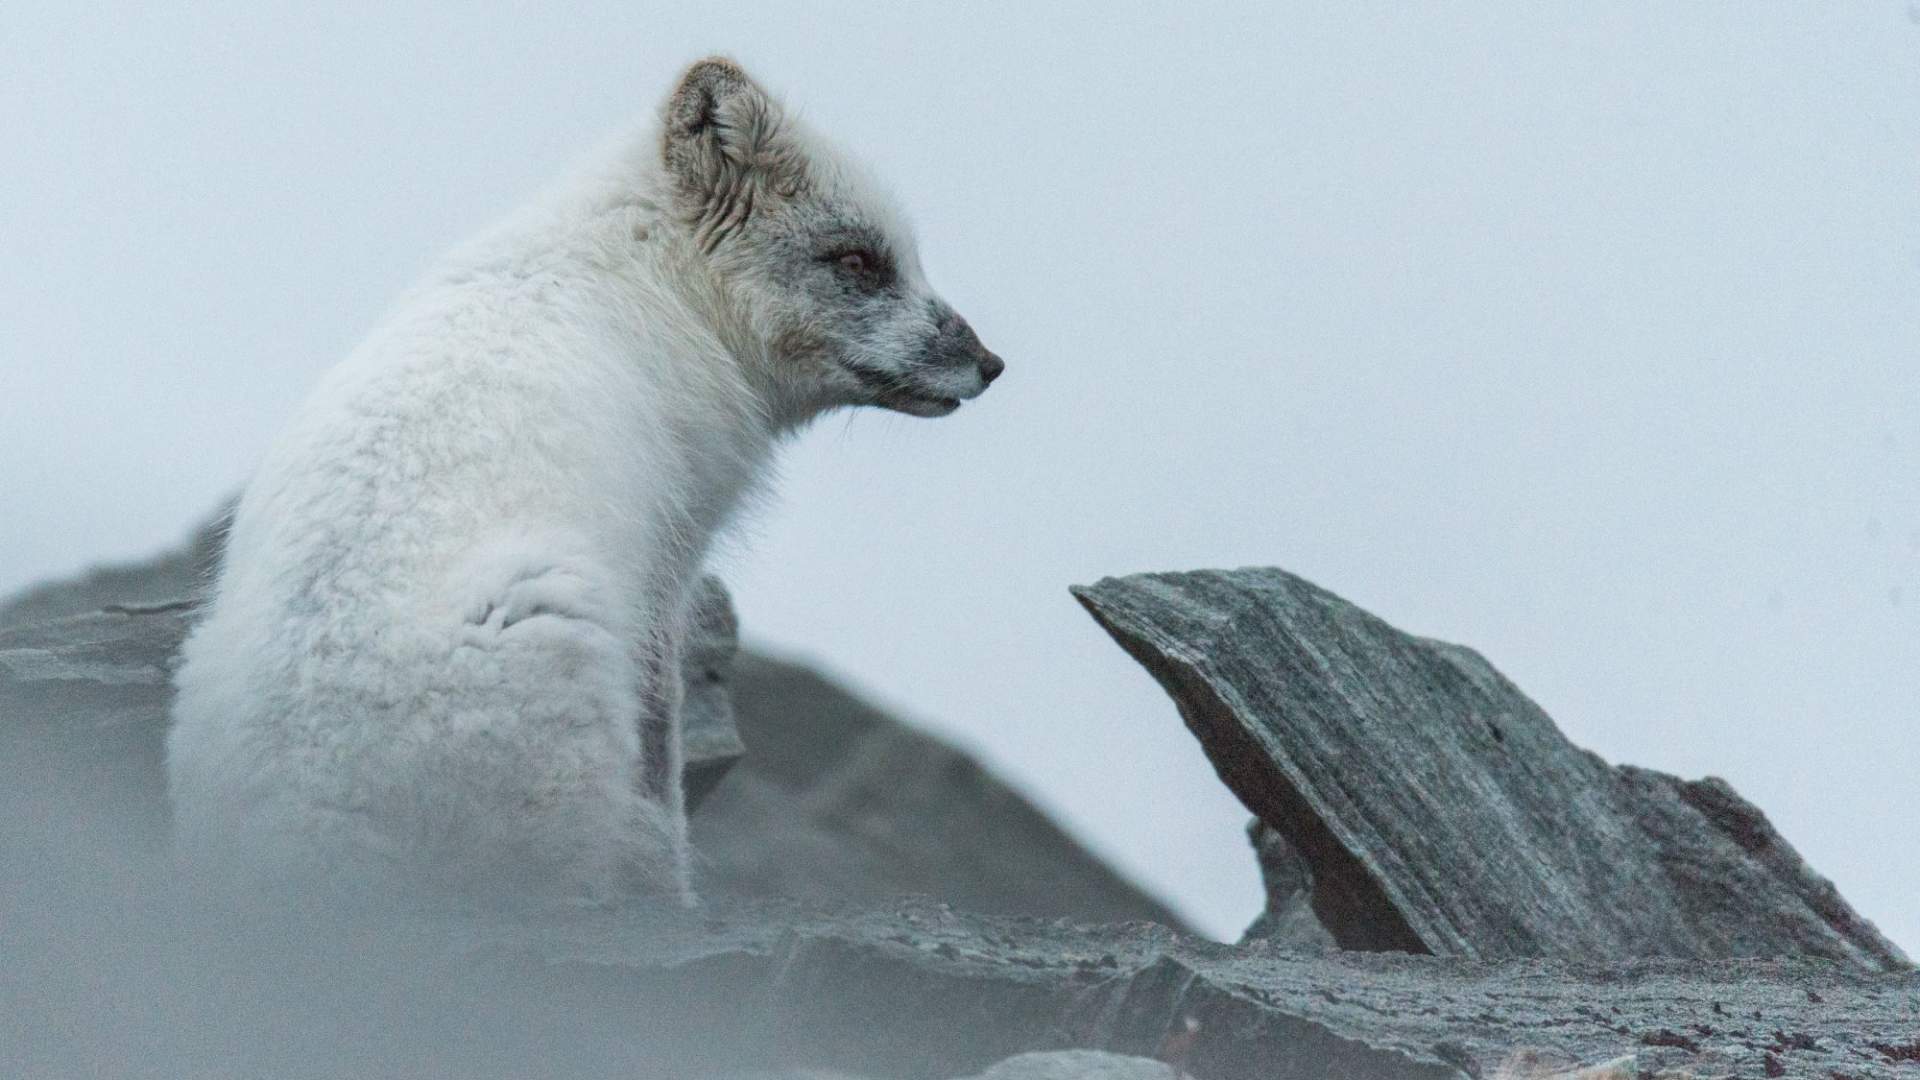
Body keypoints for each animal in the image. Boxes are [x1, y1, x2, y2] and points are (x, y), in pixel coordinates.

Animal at [165, 57, 1003, 906]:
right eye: (858, 262)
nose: (991, 365)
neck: (656, 283)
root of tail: (302, 812)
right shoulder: (666, 570)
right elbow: (661, 755)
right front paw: (671, 891)